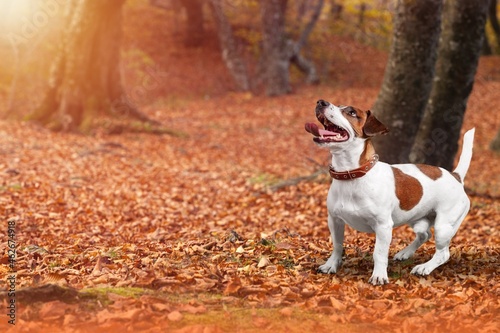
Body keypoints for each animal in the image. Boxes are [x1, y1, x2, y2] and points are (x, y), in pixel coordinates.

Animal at [304, 98, 476, 282]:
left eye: (351, 113)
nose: (321, 102)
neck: (352, 176)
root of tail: (456, 176)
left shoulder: (383, 226)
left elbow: (379, 253)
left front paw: (379, 275)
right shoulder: (334, 220)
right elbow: (337, 246)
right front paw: (331, 265)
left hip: (443, 226)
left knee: (443, 253)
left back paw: (424, 267)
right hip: (416, 217)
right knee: (424, 235)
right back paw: (405, 253)